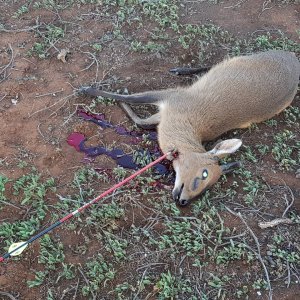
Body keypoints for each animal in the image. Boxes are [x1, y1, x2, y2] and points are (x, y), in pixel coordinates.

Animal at [82, 50, 300, 207]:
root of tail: (292, 58)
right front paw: (88, 89)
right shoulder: (170, 97)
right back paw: (180, 70)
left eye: (210, 185)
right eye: (205, 173)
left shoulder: (165, 110)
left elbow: (140, 120)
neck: (188, 125)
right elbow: (130, 99)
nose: (183, 201)